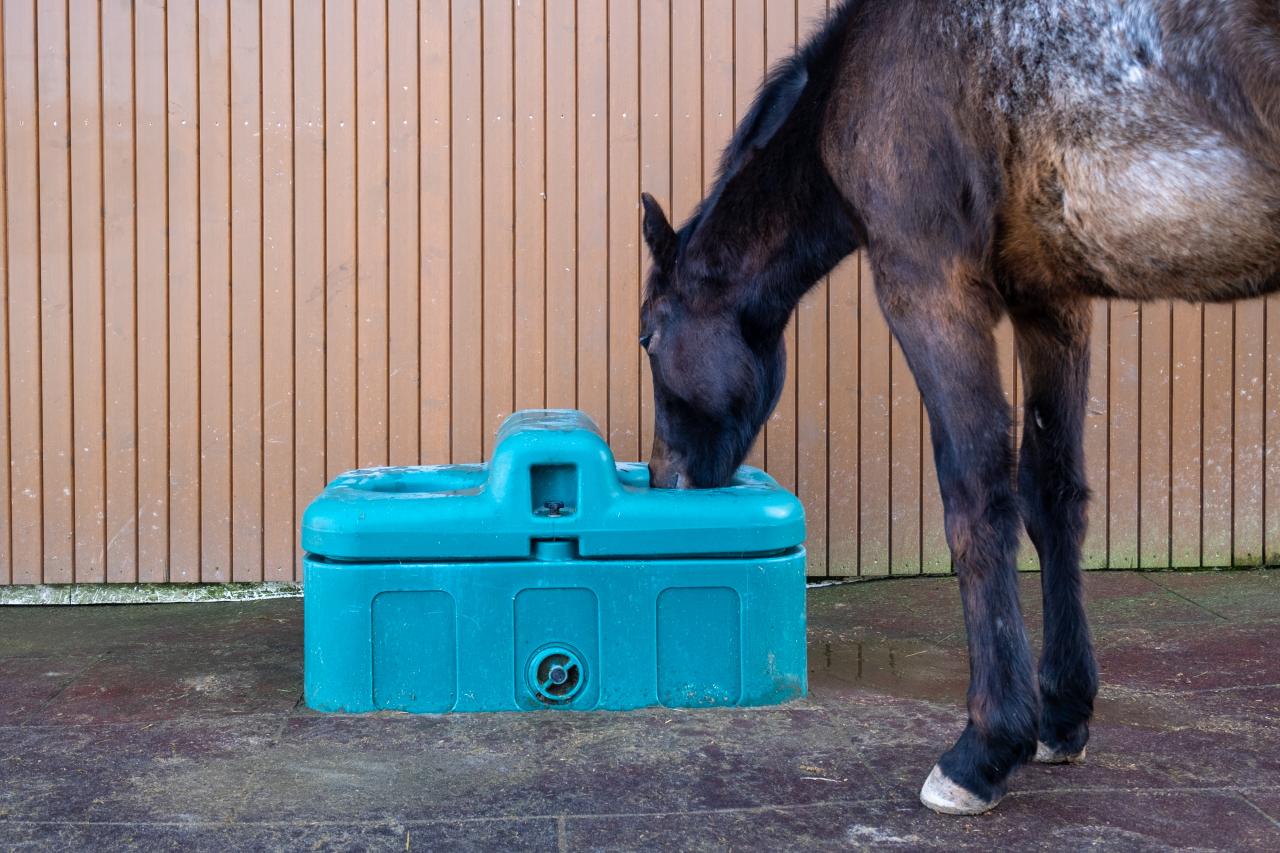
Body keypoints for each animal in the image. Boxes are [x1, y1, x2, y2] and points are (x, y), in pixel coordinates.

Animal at [638, 0, 1280, 815]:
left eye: (647, 336)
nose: (666, 477)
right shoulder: (1052, 298)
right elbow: (1051, 494)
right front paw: (1063, 714)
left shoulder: (929, 283)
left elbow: (976, 498)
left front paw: (986, 748)